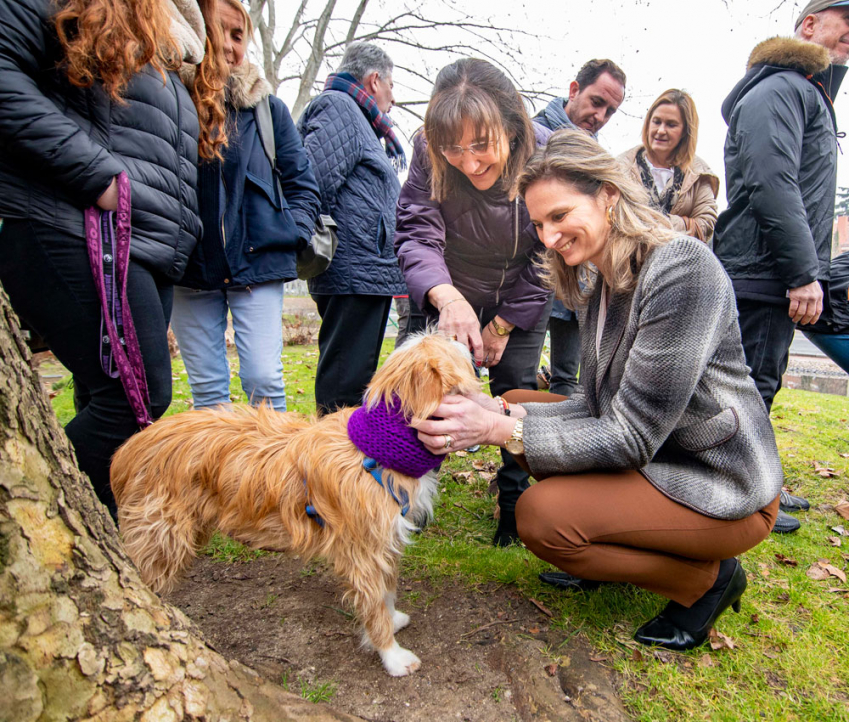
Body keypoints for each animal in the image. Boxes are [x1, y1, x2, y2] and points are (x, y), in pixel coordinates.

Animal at [110, 332, 480, 676]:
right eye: (447, 343)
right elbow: (374, 602)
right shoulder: (365, 551)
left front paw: (392, 619)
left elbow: (387, 590)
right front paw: (391, 653)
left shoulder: (387, 540)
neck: (374, 451)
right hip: (161, 539)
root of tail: (131, 447)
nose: (461, 332)